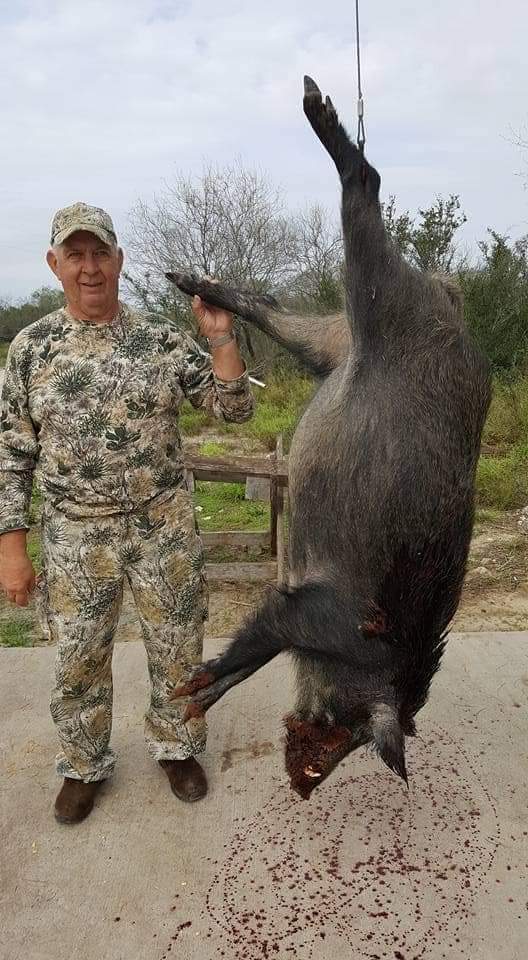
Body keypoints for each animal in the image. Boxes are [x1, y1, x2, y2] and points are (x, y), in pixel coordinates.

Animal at [166, 76, 491, 799]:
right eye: (352, 729)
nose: (305, 784)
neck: (371, 651)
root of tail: (445, 293)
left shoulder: (301, 616)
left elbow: (254, 662)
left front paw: (191, 700)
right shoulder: (310, 611)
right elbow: (256, 640)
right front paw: (191, 686)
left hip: (327, 339)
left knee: (267, 304)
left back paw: (187, 281)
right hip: (372, 290)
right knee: (364, 182)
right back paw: (315, 102)